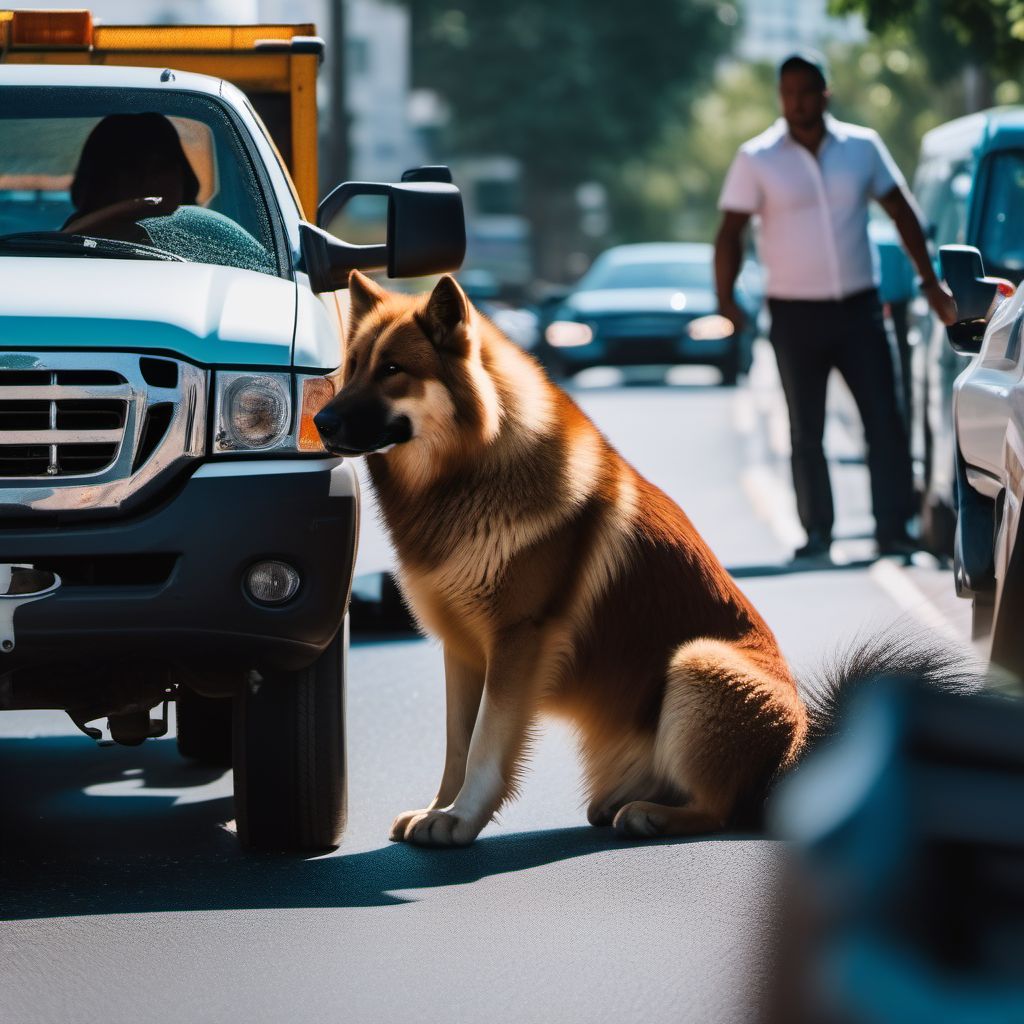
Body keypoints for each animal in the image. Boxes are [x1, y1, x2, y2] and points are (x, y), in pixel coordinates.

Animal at [311, 272, 929, 847]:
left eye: (393, 370)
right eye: (353, 366)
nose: (320, 422)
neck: (472, 468)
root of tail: (795, 755)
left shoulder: (518, 640)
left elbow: (487, 741)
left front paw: (462, 818)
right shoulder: (462, 650)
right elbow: (456, 745)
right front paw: (438, 808)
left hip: (697, 664)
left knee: (720, 811)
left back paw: (651, 815)